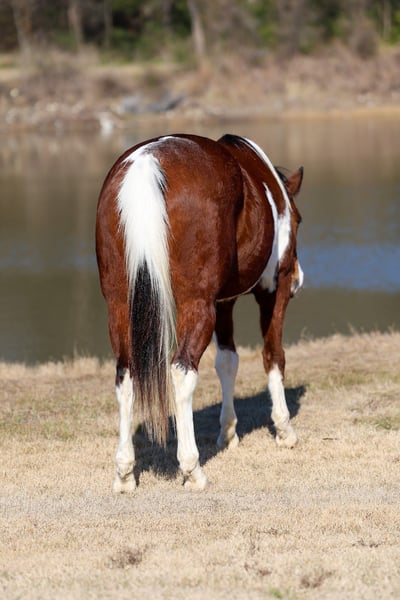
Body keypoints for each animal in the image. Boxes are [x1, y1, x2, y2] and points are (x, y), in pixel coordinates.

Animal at [96, 133, 304, 492]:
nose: (299, 280)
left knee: (126, 376)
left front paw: (228, 431)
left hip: (120, 306)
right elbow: (273, 356)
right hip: (197, 305)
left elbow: (228, 361)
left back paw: (124, 473)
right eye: (299, 220)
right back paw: (192, 469)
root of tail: (146, 164)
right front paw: (283, 429)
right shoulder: (272, 290)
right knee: (182, 371)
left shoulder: (223, 301)